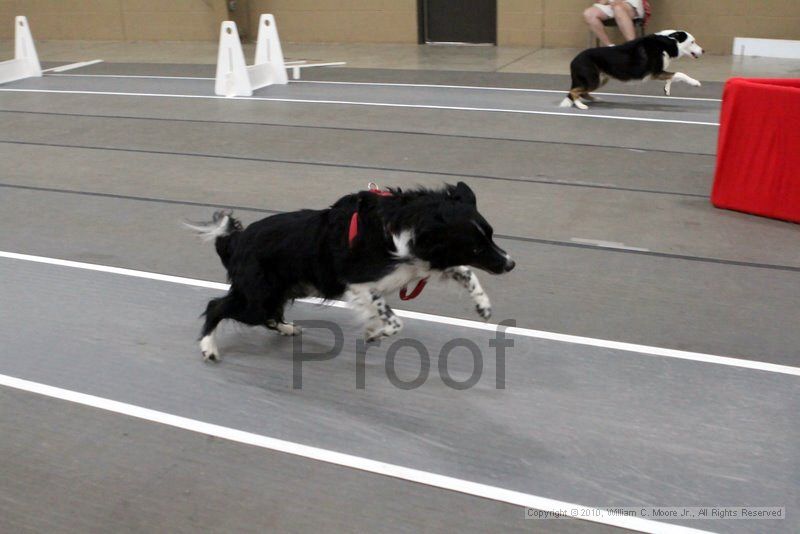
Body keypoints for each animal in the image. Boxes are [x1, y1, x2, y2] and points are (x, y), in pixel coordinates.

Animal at [185, 182, 516, 362]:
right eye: (475, 248)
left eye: (490, 234)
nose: (510, 264)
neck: (409, 223)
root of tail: (234, 240)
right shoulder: (361, 284)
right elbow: (395, 321)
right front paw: (373, 333)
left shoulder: (423, 262)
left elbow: (465, 273)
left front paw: (483, 306)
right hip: (258, 296)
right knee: (216, 306)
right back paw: (208, 348)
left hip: (281, 291)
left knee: (268, 316)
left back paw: (287, 328)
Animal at [560, 29, 704, 110]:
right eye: (692, 42)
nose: (703, 51)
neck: (667, 43)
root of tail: (573, 61)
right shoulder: (655, 72)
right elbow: (679, 74)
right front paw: (695, 82)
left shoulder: (659, 72)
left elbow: (672, 77)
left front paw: (667, 89)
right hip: (592, 79)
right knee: (573, 91)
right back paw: (581, 105)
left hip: (600, 79)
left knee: (580, 92)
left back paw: (596, 99)